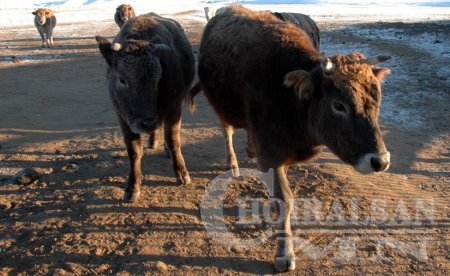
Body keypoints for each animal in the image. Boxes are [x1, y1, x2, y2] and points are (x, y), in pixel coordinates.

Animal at [96, 12, 194, 202]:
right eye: (122, 79)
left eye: (158, 78)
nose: (146, 123)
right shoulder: (123, 118)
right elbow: (134, 151)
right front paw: (132, 188)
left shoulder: (174, 109)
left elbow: (173, 141)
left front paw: (182, 174)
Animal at [188, 4, 392, 272]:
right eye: (339, 105)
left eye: (377, 101)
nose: (380, 160)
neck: (291, 99)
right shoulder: (272, 152)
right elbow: (283, 199)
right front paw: (284, 253)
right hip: (223, 107)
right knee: (228, 131)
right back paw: (232, 163)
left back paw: (250, 149)